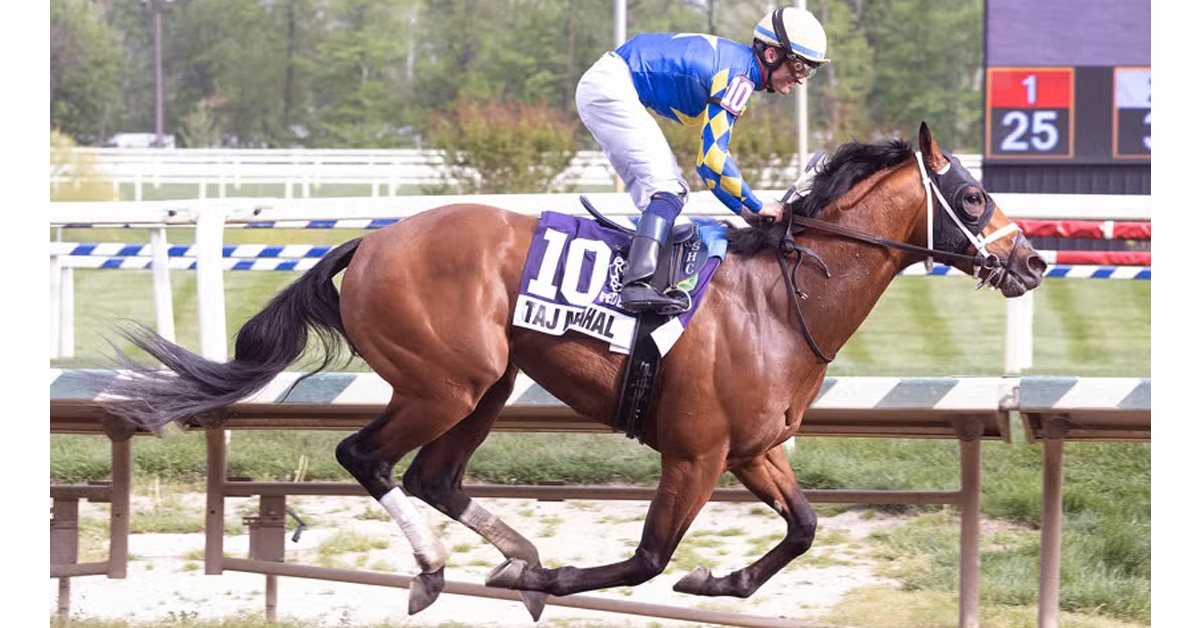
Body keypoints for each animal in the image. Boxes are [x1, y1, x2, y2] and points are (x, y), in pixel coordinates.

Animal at [96, 122, 1046, 620]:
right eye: (972, 198)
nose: (1032, 262)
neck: (781, 300)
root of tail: (371, 241)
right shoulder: (695, 454)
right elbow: (647, 559)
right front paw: (555, 582)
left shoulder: (752, 450)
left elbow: (805, 529)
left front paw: (722, 579)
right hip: (446, 381)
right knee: (366, 458)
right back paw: (441, 567)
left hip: (489, 384)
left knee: (435, 476)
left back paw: (510, 551)